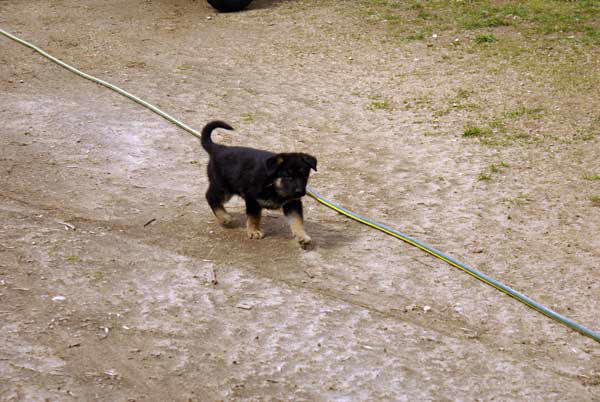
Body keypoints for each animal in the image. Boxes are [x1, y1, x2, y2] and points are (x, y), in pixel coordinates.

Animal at [202, 119, 316, 247]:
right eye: (287, 176)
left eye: (304, 176)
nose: (299, 192)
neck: (273, 184)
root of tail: (218, 148)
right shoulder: (252, 199)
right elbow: (254, 217)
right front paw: (254, 231)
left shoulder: (292, 202)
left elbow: (297, 220)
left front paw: (302, 236)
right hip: (224, 188)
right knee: (210, 196)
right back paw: (225, 218)